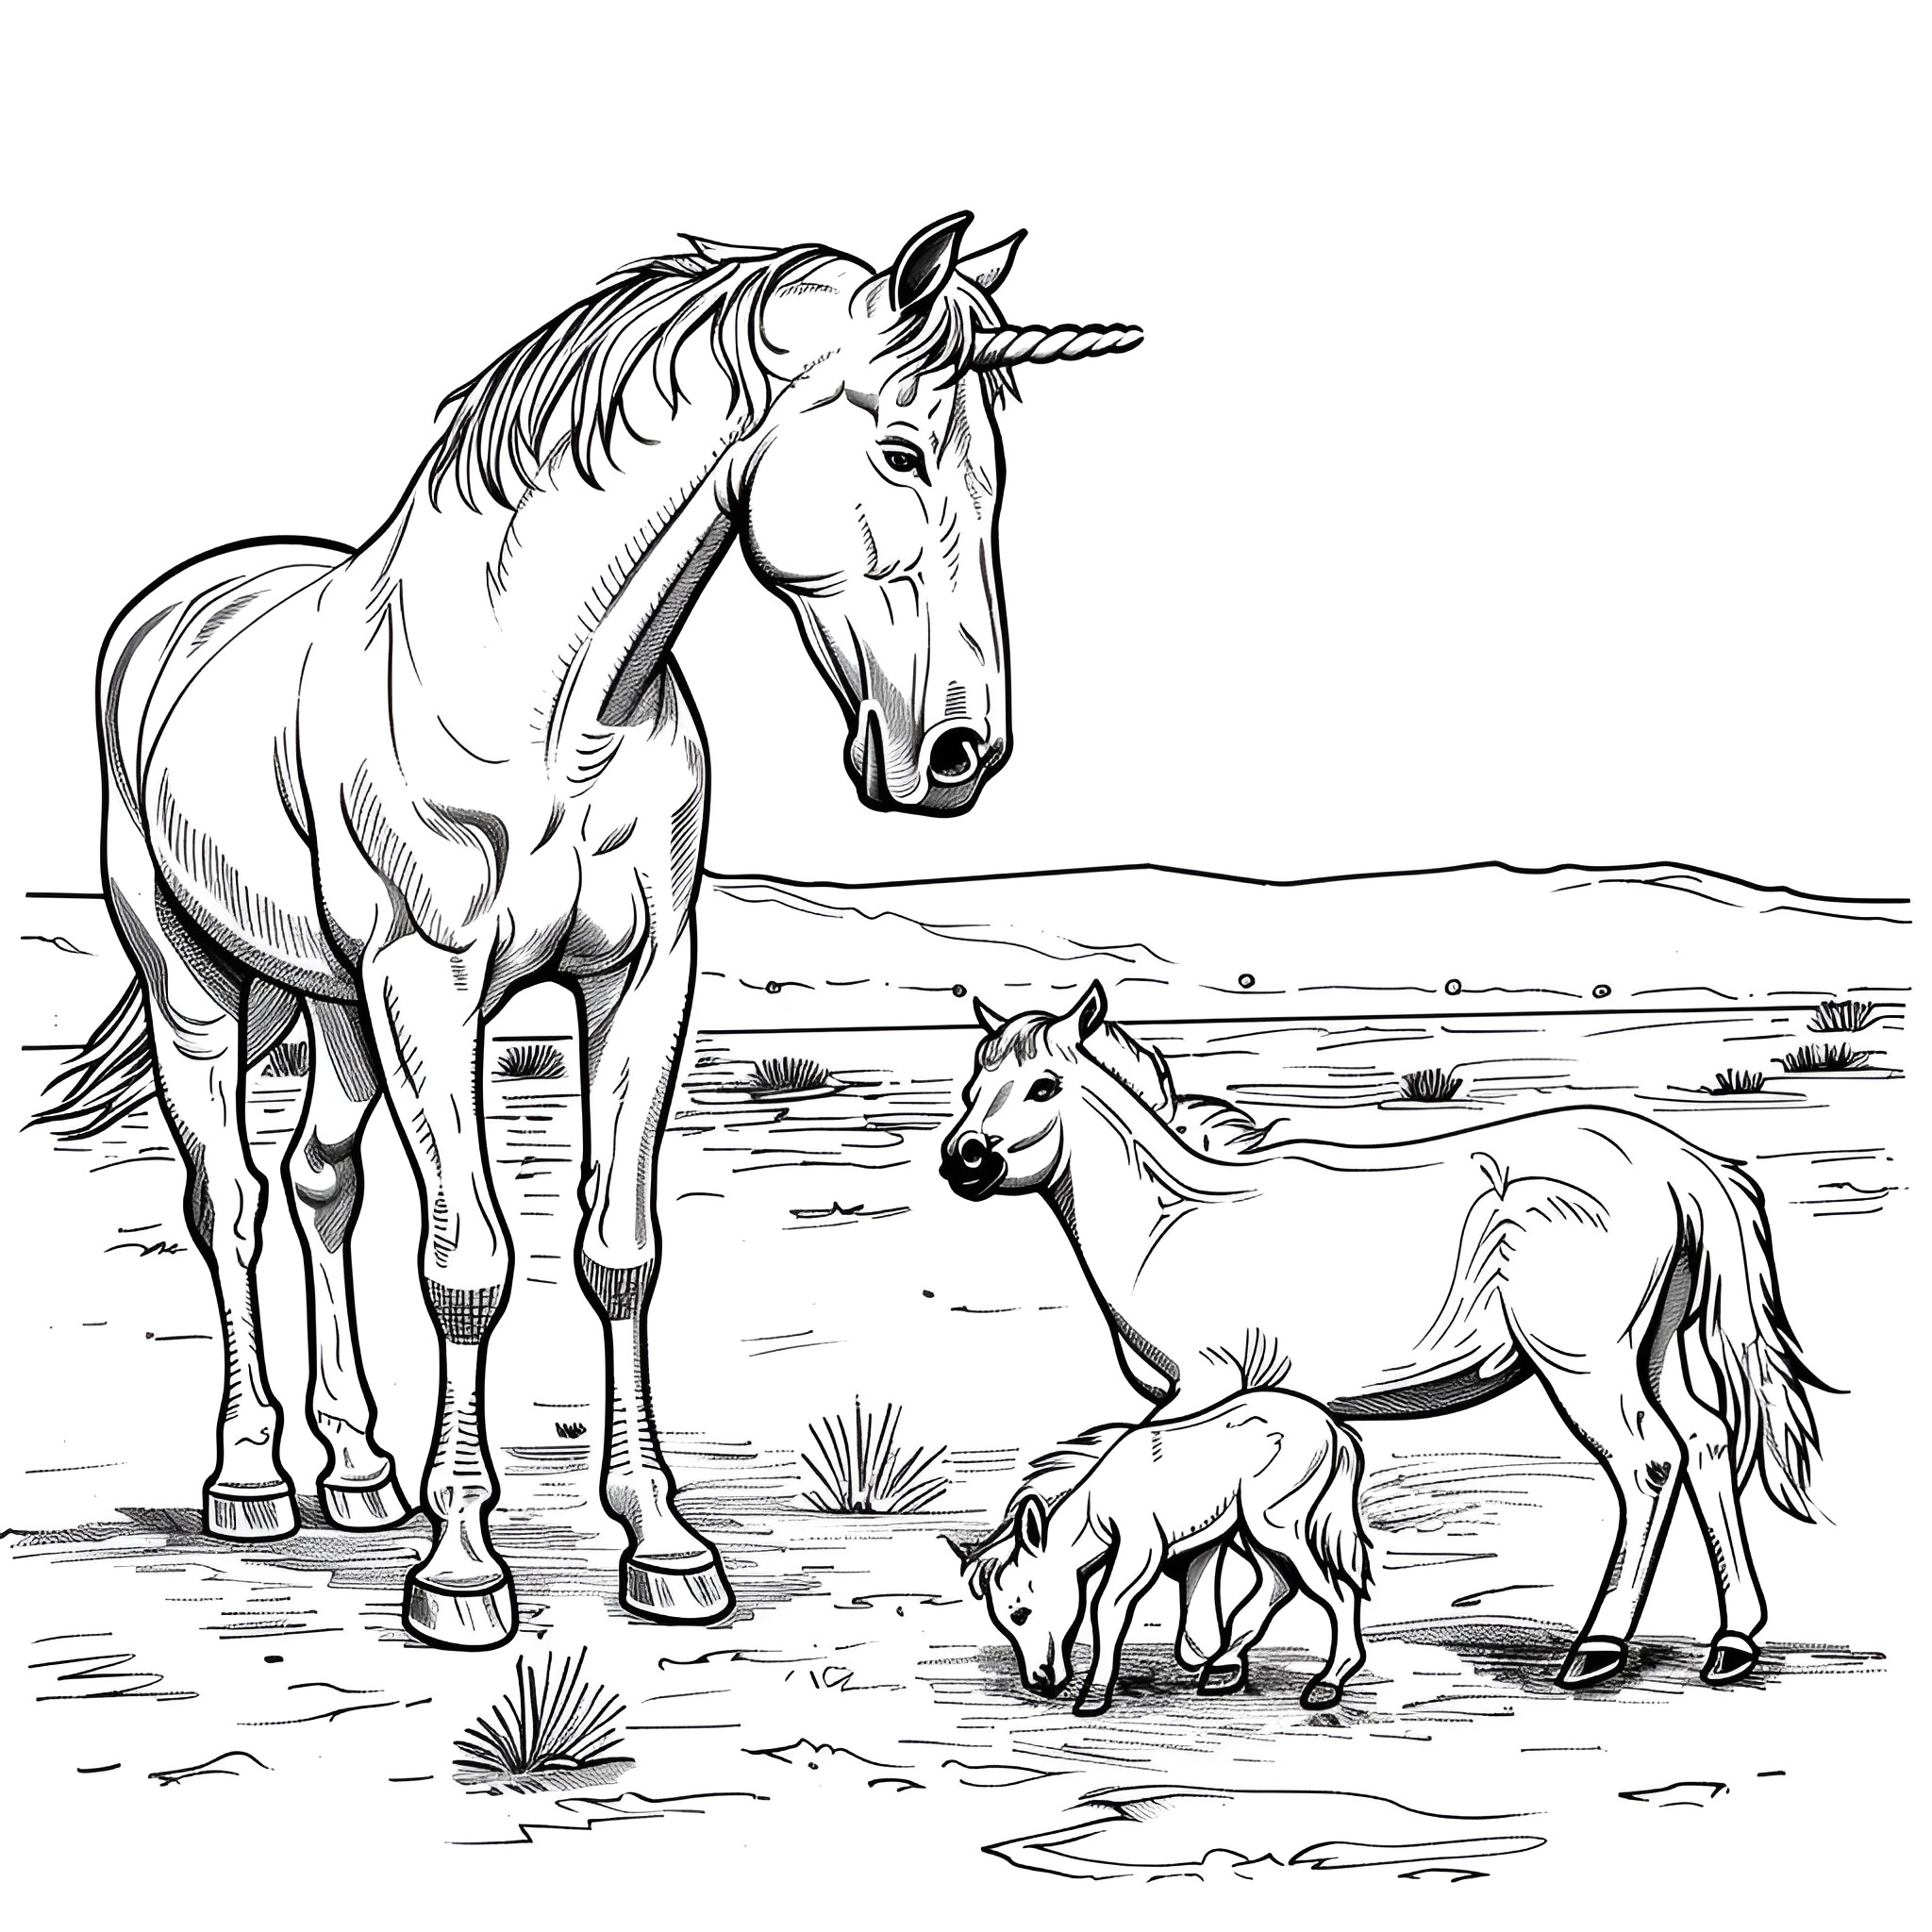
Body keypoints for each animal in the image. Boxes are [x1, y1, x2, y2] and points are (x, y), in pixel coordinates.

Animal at [33, 214, 1142, 1649]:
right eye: (901, 451)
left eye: (994, 476)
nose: (959, 753)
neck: (556, 709)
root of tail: (175, 606)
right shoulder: (430, 986)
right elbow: (467, 1265)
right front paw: (462, 1565)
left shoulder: (639, 979)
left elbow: (620, 1252)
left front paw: (661, 1542)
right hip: (194, 979)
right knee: (227, 1202)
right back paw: (253, 1478)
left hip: (333, 1004)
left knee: (320, 1186)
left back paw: (358, 1470)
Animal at [952, 1393, 1372, 1716]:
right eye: (1004, 1623)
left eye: (1020, 1613)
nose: (1040, 1682)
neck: (1098, 1501)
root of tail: (1334, 1427)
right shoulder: (1196, 1544)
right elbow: (1195, 1587)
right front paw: (1201, 1655)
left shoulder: (1141, 1554)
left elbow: (1105, 1609)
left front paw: (1093, 1696)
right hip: (1254, 1529)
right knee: (1278, 1584)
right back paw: (1224, 1667)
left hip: (1277, 1524)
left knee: (1336, 1592)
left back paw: (1328, 1682)